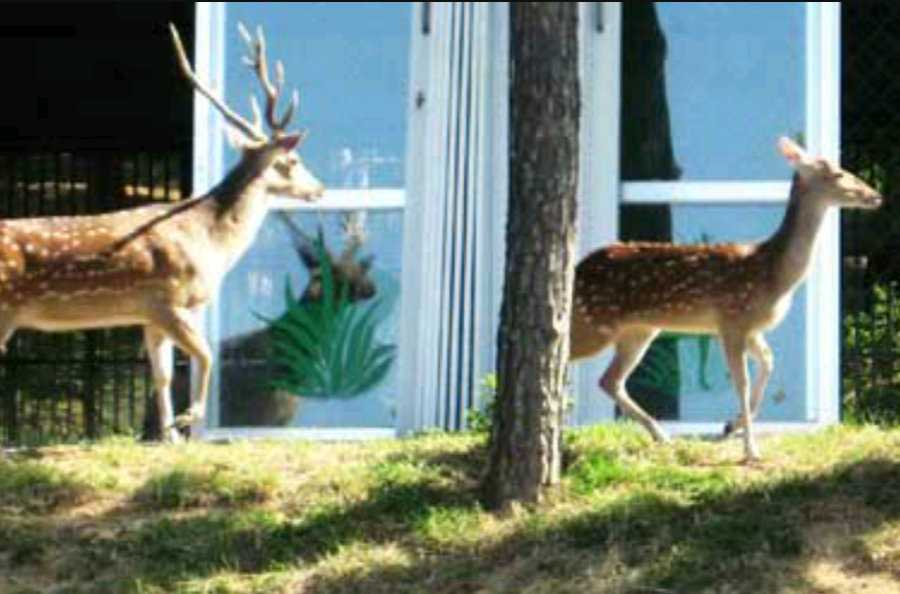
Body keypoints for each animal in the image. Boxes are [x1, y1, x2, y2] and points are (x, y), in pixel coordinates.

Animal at [0, 22, 324, 440]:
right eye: (293, 160)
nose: (319, 188)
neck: (210, 242)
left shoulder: (147, 314)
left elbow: (163, 376)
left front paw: (169, 436)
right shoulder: (166, 300)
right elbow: (204, 354)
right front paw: (189, 419)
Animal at [572, 136, 884, 460]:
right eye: (838, 173)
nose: (876, 195)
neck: (774, 275)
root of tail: (577, 269)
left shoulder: (751, 327)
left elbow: (769, 363)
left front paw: (731, 426)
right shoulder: (732, 319)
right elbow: (742, 383)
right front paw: (750, 450)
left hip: (640, 329)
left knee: (610, 380)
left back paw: (662, 435)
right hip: (594, 322)